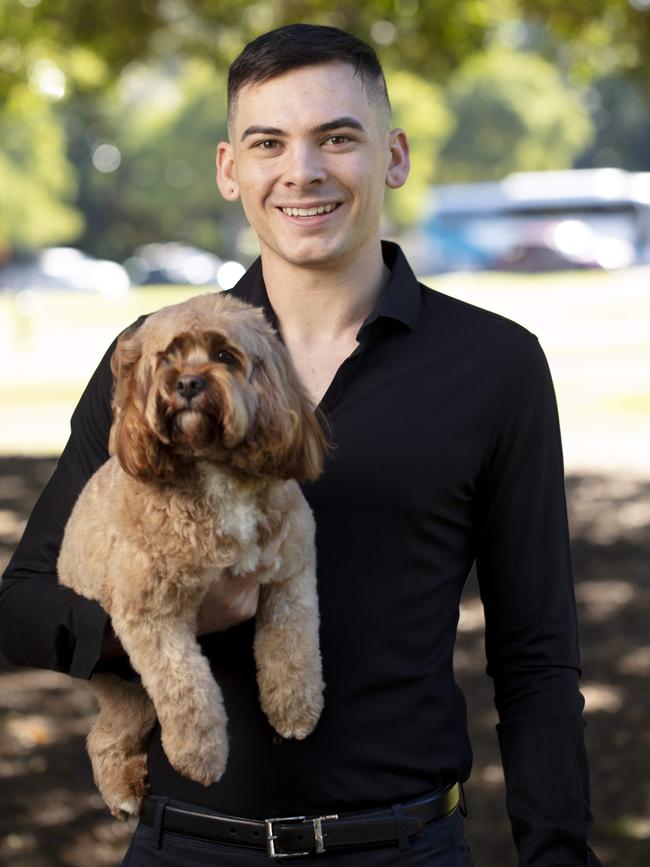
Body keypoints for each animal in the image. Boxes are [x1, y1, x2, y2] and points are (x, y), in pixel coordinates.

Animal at [58, 292, 326, 820]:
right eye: (168, 358)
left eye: (224, 355)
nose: (186, 383)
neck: (212, 467)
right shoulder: (151, 616)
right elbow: (187, 687)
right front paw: (199, 755)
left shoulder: (291, 572)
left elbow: (292, 645)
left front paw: (295, 709)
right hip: (116, 674)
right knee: (113, 729)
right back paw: (123, 788)